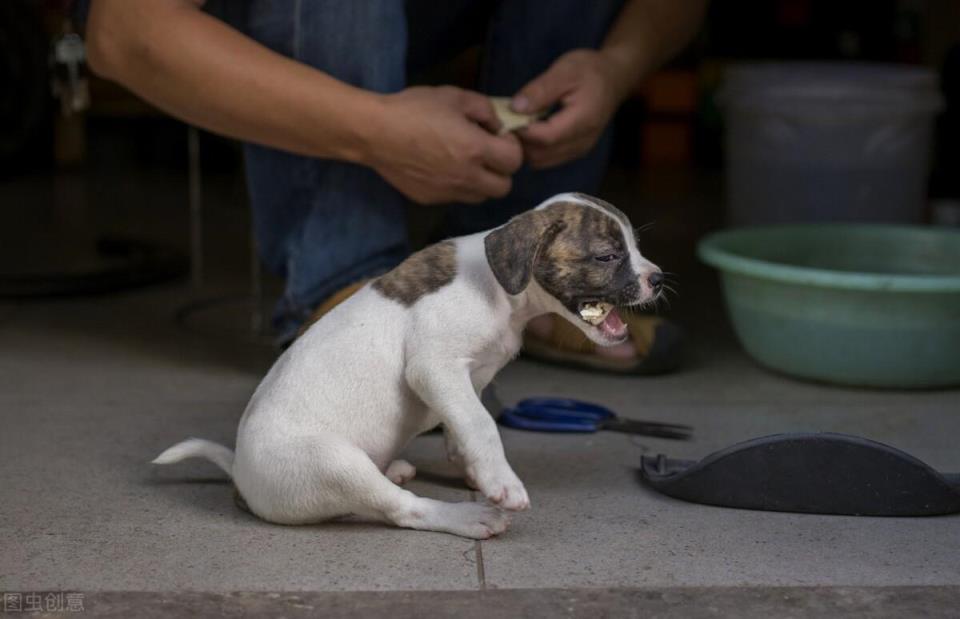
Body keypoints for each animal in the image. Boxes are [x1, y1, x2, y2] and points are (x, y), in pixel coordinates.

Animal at [154, 193, 664, 536]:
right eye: (607, 256)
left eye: (637, 248)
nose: (658, 279)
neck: (500, 289)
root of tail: (240, 476)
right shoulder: (435, 368)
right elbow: (481, 424)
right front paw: (500, 481)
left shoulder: (470, 378)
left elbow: (464, 422)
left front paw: (475, 469)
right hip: (335, 462)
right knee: (403, 510)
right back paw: (468, 516)